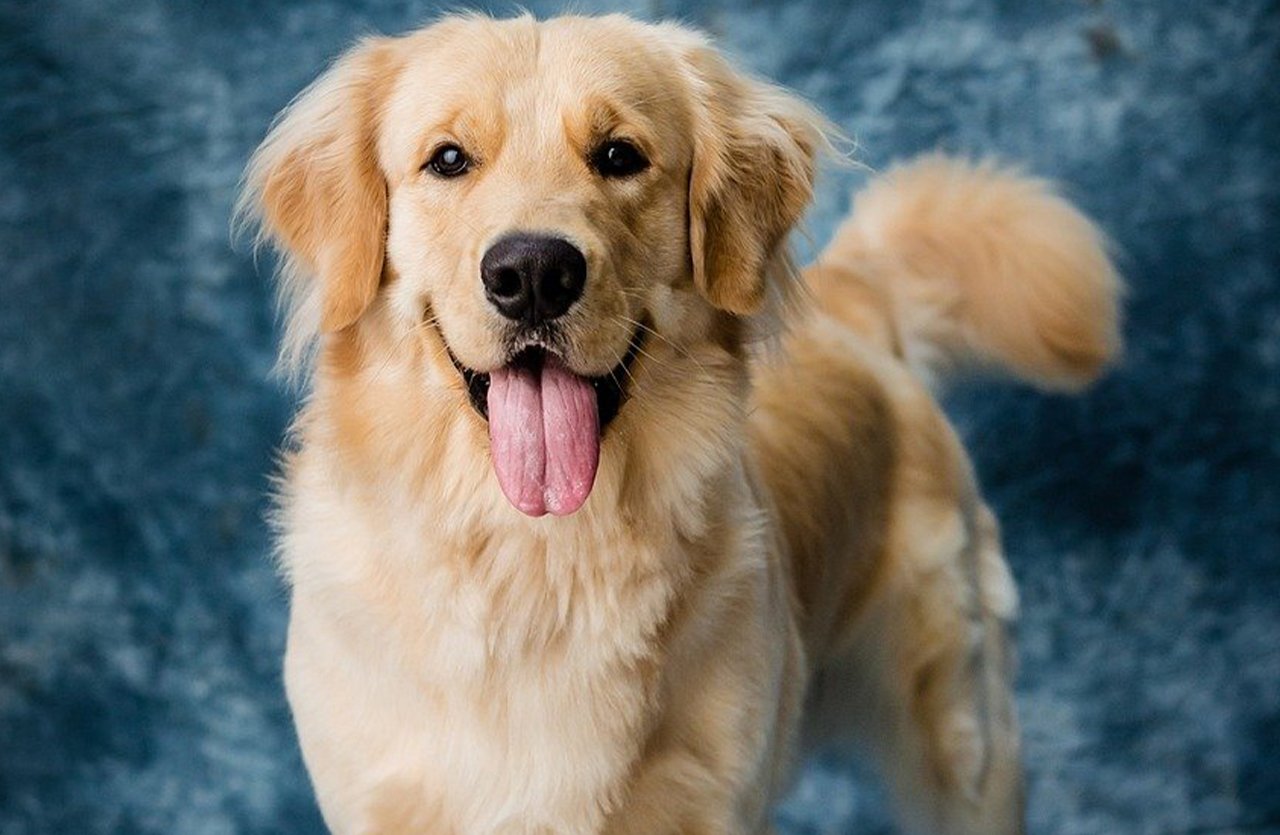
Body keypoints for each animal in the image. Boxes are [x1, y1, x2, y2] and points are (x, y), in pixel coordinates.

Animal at [238, 14, 1121, 835]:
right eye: (449, 159)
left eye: (619, 155)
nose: (533, 273)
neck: (539, 556)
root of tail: (857, 303)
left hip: (963, 741)